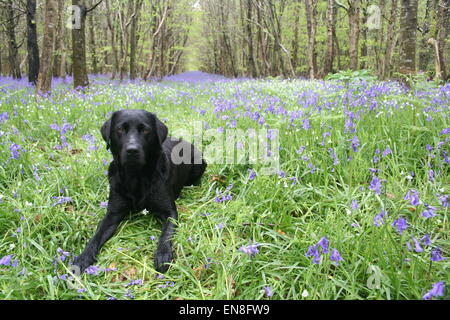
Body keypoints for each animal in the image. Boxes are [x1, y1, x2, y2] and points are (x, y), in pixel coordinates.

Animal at [73, 109, 207, 272]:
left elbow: (166, 234)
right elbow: (96, 235)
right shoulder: (113, 213)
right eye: (120, 129)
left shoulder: (169, 212)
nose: (132, 150)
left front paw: (163, 254)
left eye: (145, 130)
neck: (135, 177)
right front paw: (82, 259)